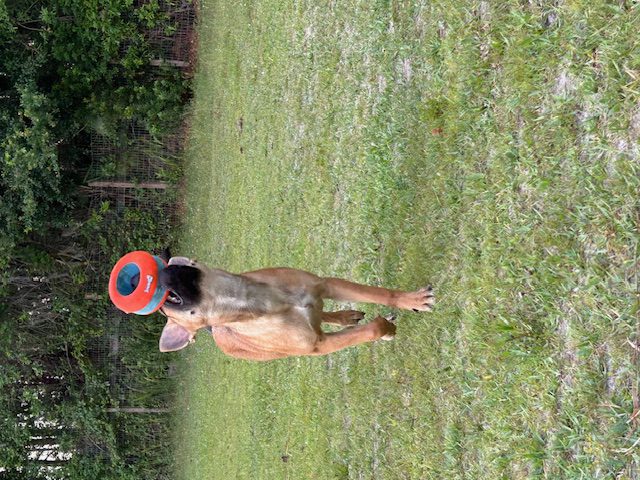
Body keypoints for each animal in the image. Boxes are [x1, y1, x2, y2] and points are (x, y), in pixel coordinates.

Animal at [158, 255, 436, 360]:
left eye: (170, 300)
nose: (162, 271)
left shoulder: (325, 285)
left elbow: (380, 294)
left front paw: (411, 300)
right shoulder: (320, 346)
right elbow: (373, 329)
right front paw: (387, 328)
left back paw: (345, 316)